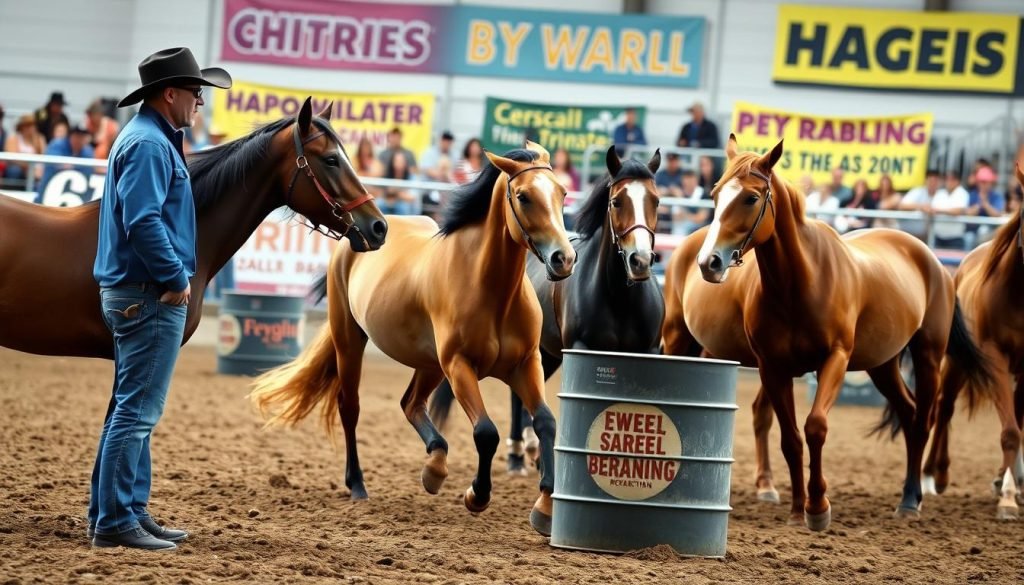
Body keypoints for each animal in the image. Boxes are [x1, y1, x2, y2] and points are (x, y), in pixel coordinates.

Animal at [249, 142, 576, 536]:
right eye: (524, 196)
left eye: (562, 193)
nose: (564, 259)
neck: (490, 288)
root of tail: (360, 231)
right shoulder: (459, 366)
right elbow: (486, 432)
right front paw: (476, 495)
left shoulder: (527, 363)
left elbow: (545, 422)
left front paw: (545, 507)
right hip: (351, 341)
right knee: (350, 408)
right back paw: (358, 484)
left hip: (429, 363)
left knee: (410, 403)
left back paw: (434, 465)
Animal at [427, 146, 665, 475]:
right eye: (617, 201)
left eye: (656, 200)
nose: (640, 261)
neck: (619, 299)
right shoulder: (580, 350)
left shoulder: (648, 352)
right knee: (516, 398)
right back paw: (519, 453)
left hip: (548, 354)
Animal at [661, 134, 993, 531]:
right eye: (714, 194)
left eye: (751, 198)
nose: (709, 262)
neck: (802, 282)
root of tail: (933, 260)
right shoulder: (773, 367)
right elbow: (790, 438)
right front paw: (797, 508)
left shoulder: (834, 359)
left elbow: (815, 427)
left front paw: (818, 507)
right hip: (878, 364)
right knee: (909, 413)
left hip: (927, 356)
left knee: (921, 421)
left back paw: (911, 499)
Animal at [923, 163, 1024, 520]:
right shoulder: (994, 357)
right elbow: (1010, 432)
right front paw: (1007, 499)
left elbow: (1016, 426)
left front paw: (1008, 486)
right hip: (956, 363)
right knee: (944, 408)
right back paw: (934, 475)